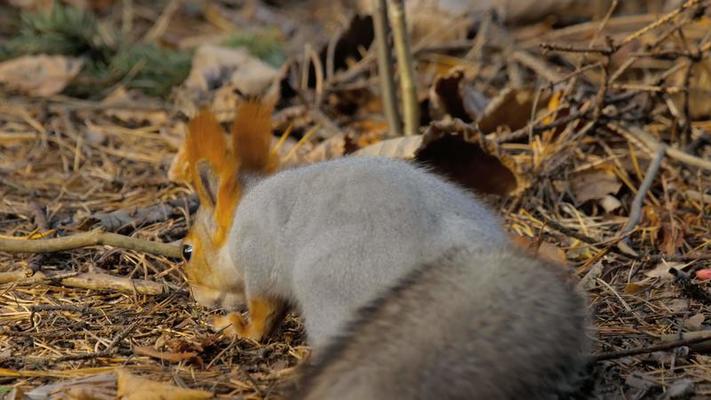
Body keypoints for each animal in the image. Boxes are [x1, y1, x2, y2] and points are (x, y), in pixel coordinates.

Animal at [178, 98, 588, 398]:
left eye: (187, 251)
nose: (196, 295)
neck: (239, 222)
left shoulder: (259, 262)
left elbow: (263, 317)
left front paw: (237, 328)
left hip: (331, 281)